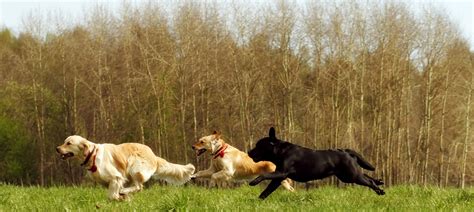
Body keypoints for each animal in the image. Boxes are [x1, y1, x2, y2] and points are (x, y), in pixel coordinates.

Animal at [248, 127, 386, 199]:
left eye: (258, 146)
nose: (249, 151)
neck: (281, 151)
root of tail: (345, 151)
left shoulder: (282, 173)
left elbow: (264, 175)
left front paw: (253, 182)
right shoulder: (278, 177)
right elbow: (266, 191)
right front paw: (258, 201)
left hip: (351, 175)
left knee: (369, 181)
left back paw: (380, 190)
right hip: (347, 176)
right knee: (368, 177)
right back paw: (379, 182)